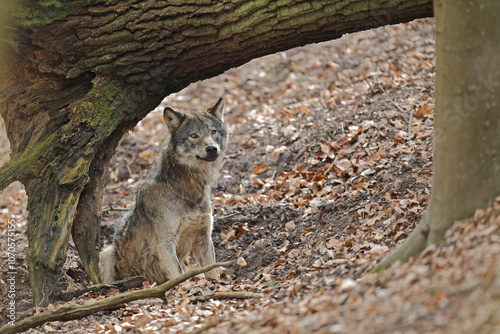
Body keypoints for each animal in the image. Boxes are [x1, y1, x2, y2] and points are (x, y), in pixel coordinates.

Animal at [98, 98, 228, 284]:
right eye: (193, 135)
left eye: (213, 131)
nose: (211, 148)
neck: (186, 189)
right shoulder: (165, 244)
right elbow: (180, 276)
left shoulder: (203, 238)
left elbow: (213, 272)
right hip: (107, 252)